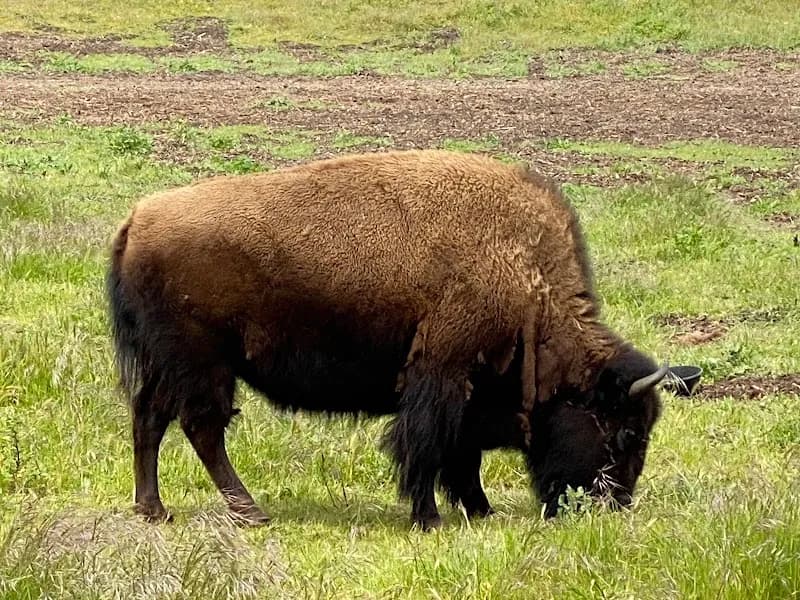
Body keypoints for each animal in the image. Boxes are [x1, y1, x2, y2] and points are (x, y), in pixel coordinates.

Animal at [106, 149, 665, 530]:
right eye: (625, 433)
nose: (613, 504)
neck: (526, 277)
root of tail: (137, 220)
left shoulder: (466, 391)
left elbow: (461, 456)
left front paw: (479, 511)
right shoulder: (441, 373)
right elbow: (428, 447)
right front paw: (430, 518)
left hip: (168, 365)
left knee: (149, 418)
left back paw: (154, 509)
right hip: (204, 364)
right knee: (201, 427)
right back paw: (251, 512)